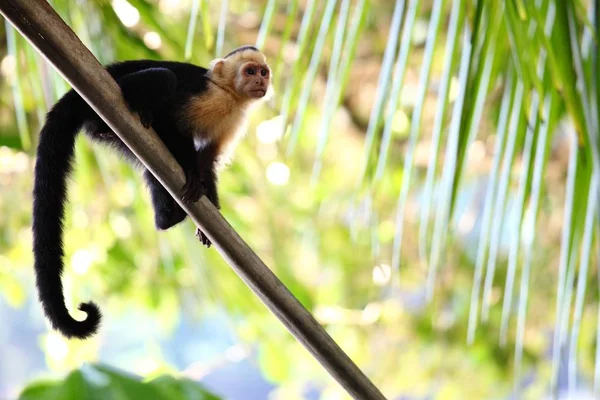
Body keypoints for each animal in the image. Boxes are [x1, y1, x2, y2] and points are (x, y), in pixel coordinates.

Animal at [34, 46, 274, 340]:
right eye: (250, 71)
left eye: (263, 72)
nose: (261, 81)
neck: (228, 94)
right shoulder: (206, 95)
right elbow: (170, 119)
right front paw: (189, 169)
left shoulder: (233, 120)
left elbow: (208, 160)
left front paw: (208, 213)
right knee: (163, 80)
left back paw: (167, 218)